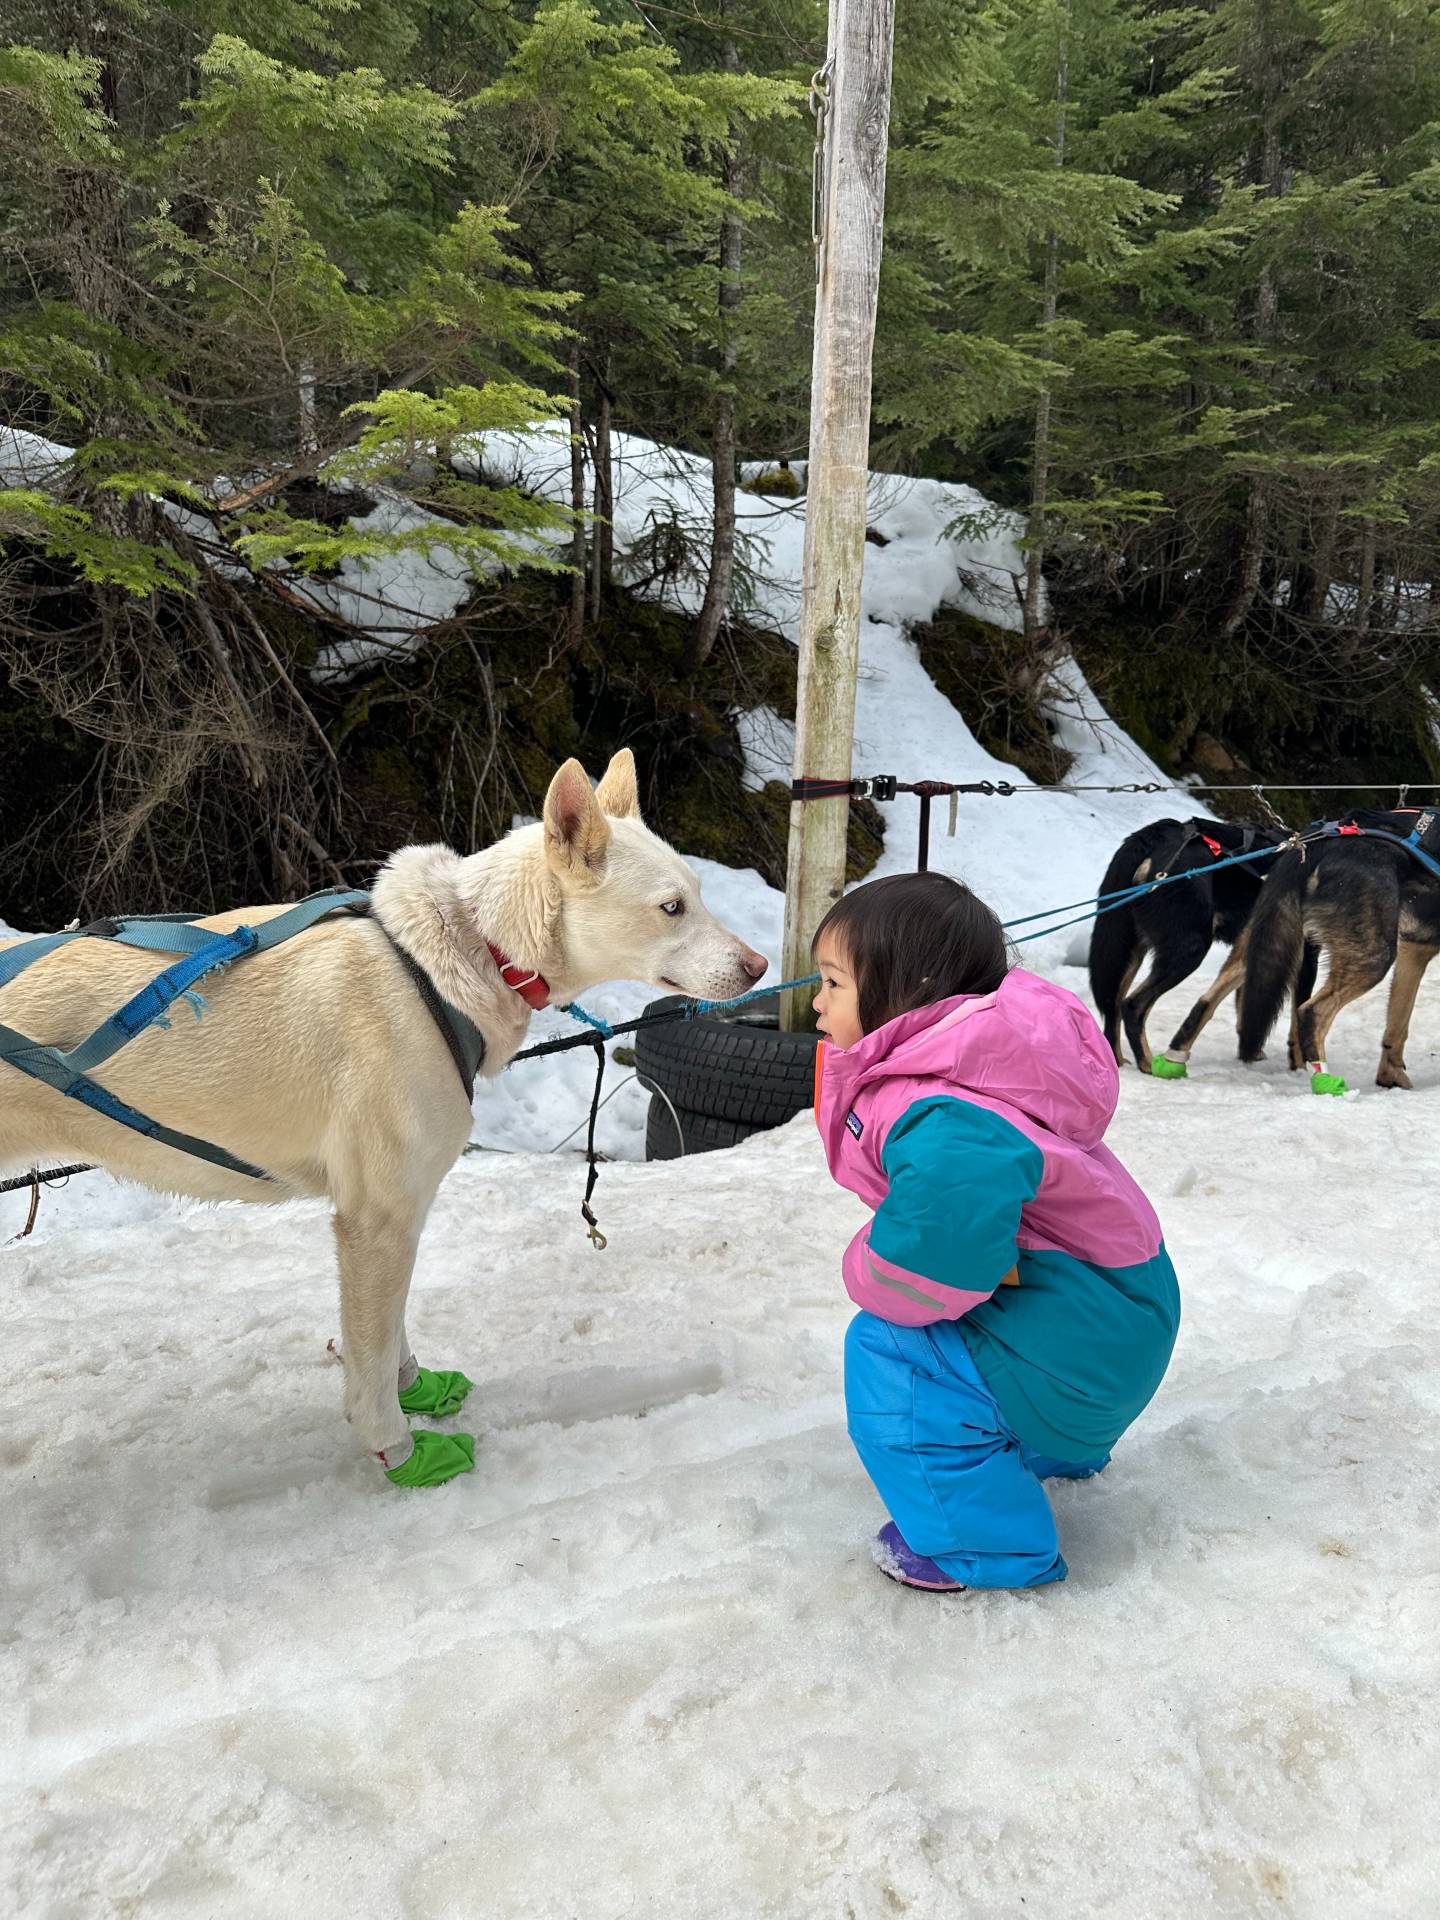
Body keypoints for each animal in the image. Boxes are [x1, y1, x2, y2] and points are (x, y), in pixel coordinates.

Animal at [0, 748, 768, 1466]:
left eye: (700, 894)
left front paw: (415, 1385)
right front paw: (398, 1449)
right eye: (671, 907)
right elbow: (369, 1362)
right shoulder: (376, 1220)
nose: (759, 967)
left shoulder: (403, 1210)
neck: (453, 958)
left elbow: (391, 1332)